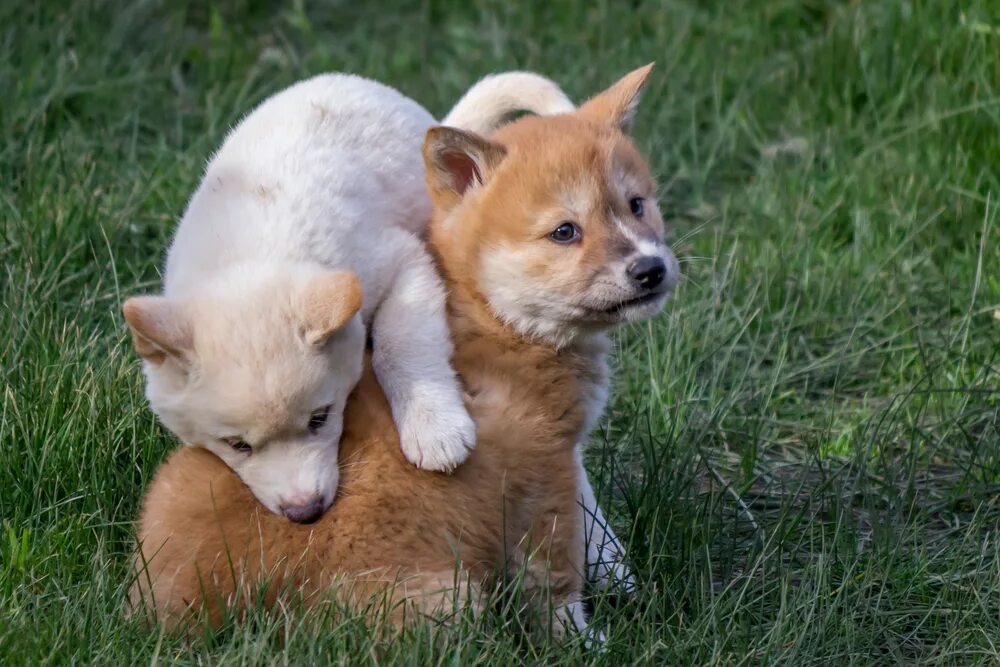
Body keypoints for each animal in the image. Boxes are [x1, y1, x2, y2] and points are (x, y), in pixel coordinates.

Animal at [122, 72, 576, 520]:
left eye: (320, 419)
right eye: (237, 445)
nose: (304, 512)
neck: (252, 254)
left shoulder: (404, 260)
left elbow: (400, 344)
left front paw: (434, 427)